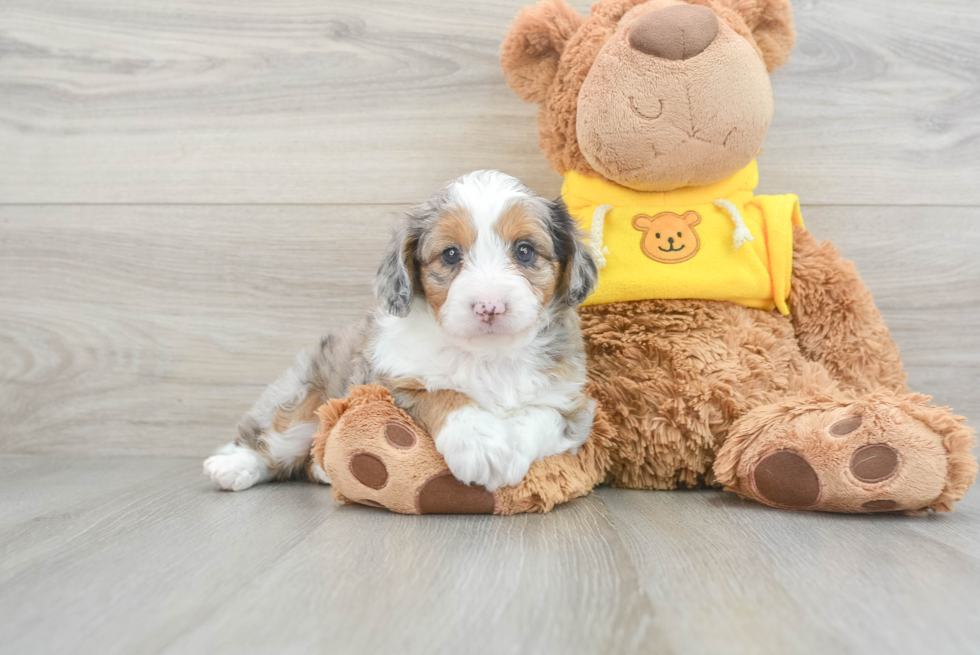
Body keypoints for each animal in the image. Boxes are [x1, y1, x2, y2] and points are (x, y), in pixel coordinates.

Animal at [203, 169, 596, 492]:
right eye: (450, 254)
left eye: (525, 251)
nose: (490, 306)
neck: (486, 354)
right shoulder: (383, 385)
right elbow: (442, 394)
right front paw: (480, 444)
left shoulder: (573, 404)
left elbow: (540, 415)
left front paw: (508, 448)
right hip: (303, 399)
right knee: (271, 440)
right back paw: (232, 466)